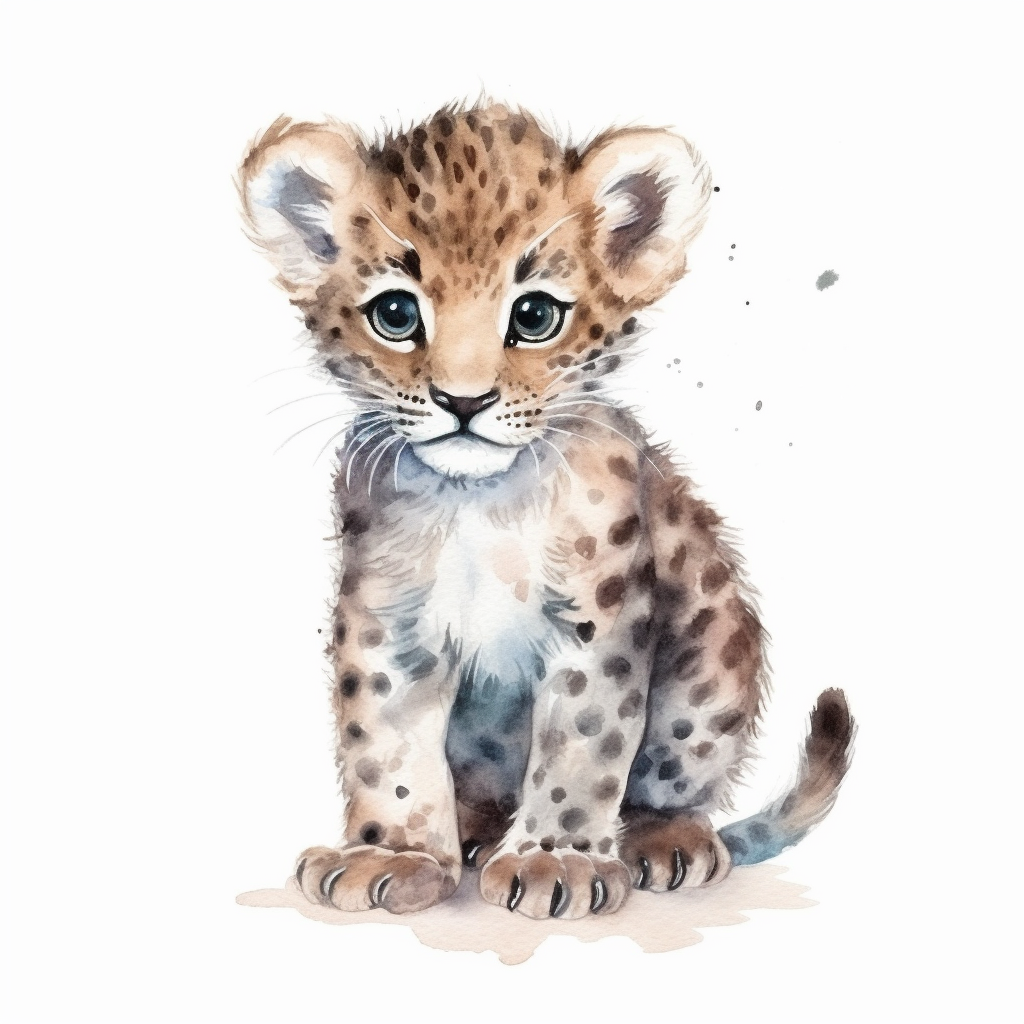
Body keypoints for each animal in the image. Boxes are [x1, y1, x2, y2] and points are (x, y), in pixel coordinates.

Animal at [238, 102, 855, 920]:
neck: (479, 504)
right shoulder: (387, 621)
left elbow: (584, 741)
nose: (463, 401)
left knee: (673, 780)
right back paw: (473, 833)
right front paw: (395, 854)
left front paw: (554, 859)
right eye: (396, 313)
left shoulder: (598, 620)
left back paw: (660, 840)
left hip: (712, 659)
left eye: (534, 315)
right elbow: (386, 743)